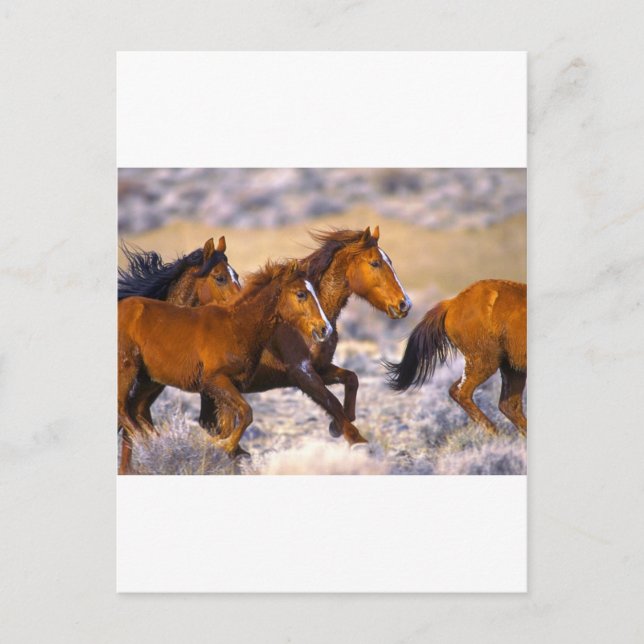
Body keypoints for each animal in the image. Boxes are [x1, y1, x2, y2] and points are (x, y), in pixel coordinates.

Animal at [117, 261, 332, 473]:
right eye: (301, 294)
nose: (325, 329)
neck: (236, 327)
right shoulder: (215, 381)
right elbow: (246, 413)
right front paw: (222, 446)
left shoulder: (230, 387)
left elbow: (229, 424)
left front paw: (217, 446)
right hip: (127, 369)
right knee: (123, 409)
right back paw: (151, 445)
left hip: (149, 380)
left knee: (135, 409)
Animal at [200, 226, 412, 447]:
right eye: (375, 263)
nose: (404, 304)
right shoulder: (301, 372)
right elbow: (333, 405)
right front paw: (352, 438)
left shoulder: (320, 368)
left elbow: (351, 380)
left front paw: (336, 426)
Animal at [385, 279, 526, 436]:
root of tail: (452, 303)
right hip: (485, 362)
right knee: (462, 392)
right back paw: (495, 432)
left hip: (510, 367)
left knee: (509, 406)